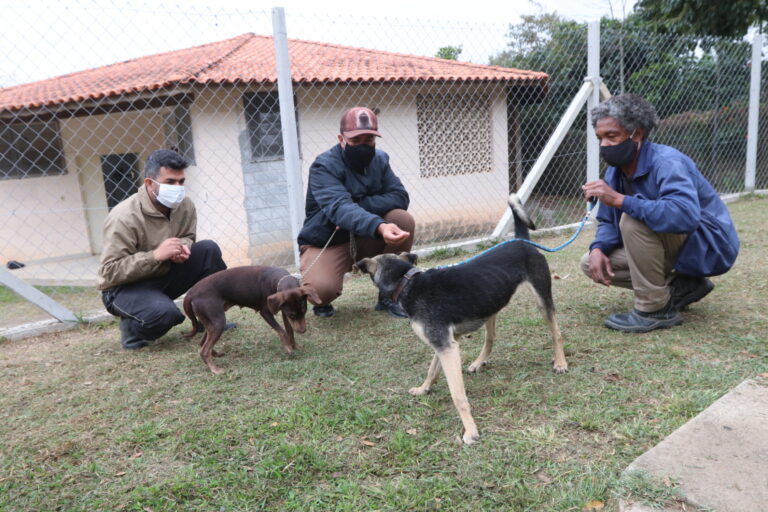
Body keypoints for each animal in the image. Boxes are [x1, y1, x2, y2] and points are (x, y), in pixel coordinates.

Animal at [182, 266, 318, 374]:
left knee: (202, 343)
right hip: (218, 322)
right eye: (292, 316)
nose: (303, 331)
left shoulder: (283, 311)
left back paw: (215, 354)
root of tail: (190, 293)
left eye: (304, 311)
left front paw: (294, 346)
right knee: (203, 350)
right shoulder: (266, 313)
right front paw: (289, 349)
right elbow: (282, 332)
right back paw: (215, 369)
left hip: (211, 322)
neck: (278, 279)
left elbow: (289, 331)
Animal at [356, 195, 568, 444]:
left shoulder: (446, 347)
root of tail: (520, 240)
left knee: (556, 333)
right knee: (491, 338)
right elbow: (431, 370)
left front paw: (470, 430)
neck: (407, 281)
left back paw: (560, 362)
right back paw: (478, 362)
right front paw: (423, 389)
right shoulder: (445, 344)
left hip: (542, 299)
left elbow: (458, 395)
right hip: (490, 304)